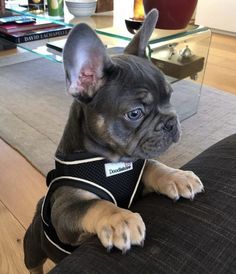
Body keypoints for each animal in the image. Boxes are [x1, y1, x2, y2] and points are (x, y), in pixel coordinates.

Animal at [24, 9, 205, 274]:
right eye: (135, 113)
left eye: (170, 96)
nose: (171, 121)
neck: (110, 161)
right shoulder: (65, 210)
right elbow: (95, 205)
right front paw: (120, 218)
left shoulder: (138, 183)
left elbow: (152, 166)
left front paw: (177, 176)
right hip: (33, 249)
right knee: (34, 264)